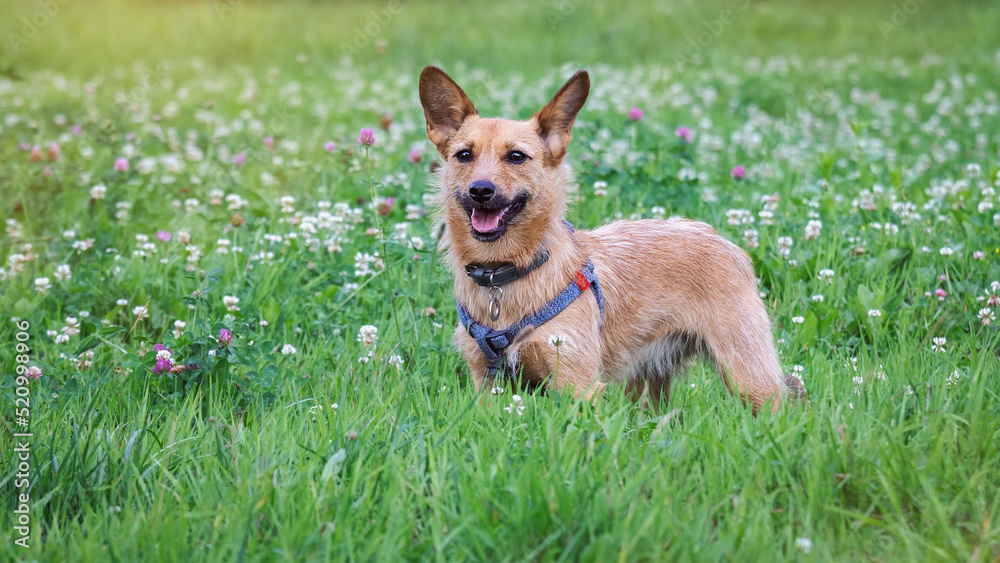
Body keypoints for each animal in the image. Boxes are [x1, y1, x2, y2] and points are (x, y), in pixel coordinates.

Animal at [418, 67, 800, 414]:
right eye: (464, 155)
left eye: (516, 156)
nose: (480, 190)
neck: (504, 273)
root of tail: (723, 240)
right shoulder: (487, 384)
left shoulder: (577, 385)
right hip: (647, 382)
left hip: (749, 376)